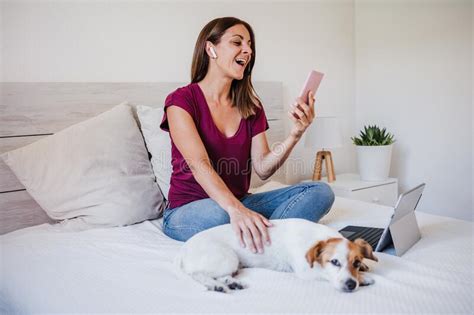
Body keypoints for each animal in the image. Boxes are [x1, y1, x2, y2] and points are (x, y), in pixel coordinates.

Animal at [176, 220, 380, 294]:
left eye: (356, 262)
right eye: (334, 262)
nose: (351, 285)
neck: (318, 238)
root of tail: (184, 250)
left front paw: (363, 272)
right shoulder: (305, 271)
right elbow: (323, 273)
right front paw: (364, 278)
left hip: (231, 263)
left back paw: (232, 283)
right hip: (227, 258)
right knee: (197, 274)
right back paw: (215, 285)